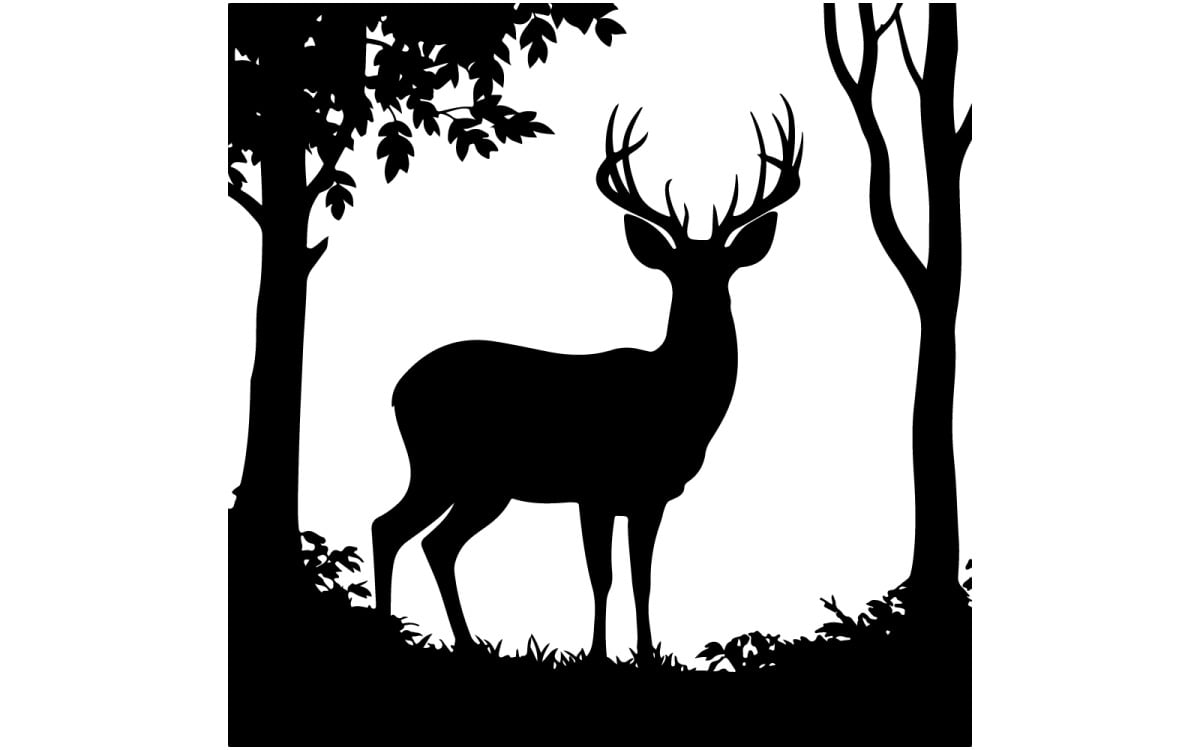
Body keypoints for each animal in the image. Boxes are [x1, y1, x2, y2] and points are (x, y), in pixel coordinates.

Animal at [373, 98, 804, 662]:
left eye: (725, 267)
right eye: (675, 270)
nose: (704, 303)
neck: (674, 398)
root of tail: (398, 390)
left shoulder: (651, 496)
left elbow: (643, 577)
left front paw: (646, 654)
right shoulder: (594, 487)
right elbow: (602, 576)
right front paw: (598, 653)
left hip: (483, 485)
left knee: (434, 543)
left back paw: (466, 642)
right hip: (442, 465)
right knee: (391, 529)